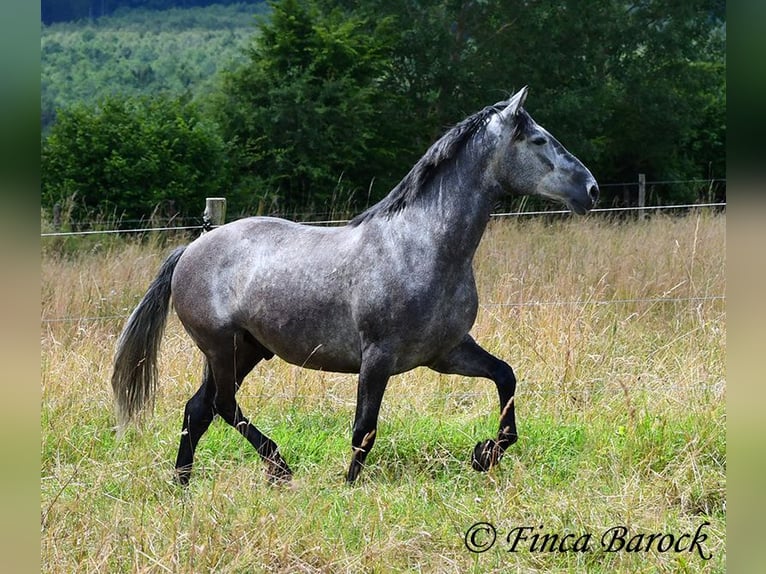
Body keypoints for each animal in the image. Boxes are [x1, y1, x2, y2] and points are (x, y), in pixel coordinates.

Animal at [111, 88, 600, 486]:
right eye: (539, 141)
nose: (592, 189)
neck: (423, 246)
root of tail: (191, 248)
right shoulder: (377, 357)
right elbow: (364, 428)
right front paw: (348, 487)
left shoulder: (446, 352)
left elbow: (505, 377)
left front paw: (484, 455)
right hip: (222, 346)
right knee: (224, 407)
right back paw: (279, 467)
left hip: (245, 348)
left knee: (200, 410)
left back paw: (183, 483)